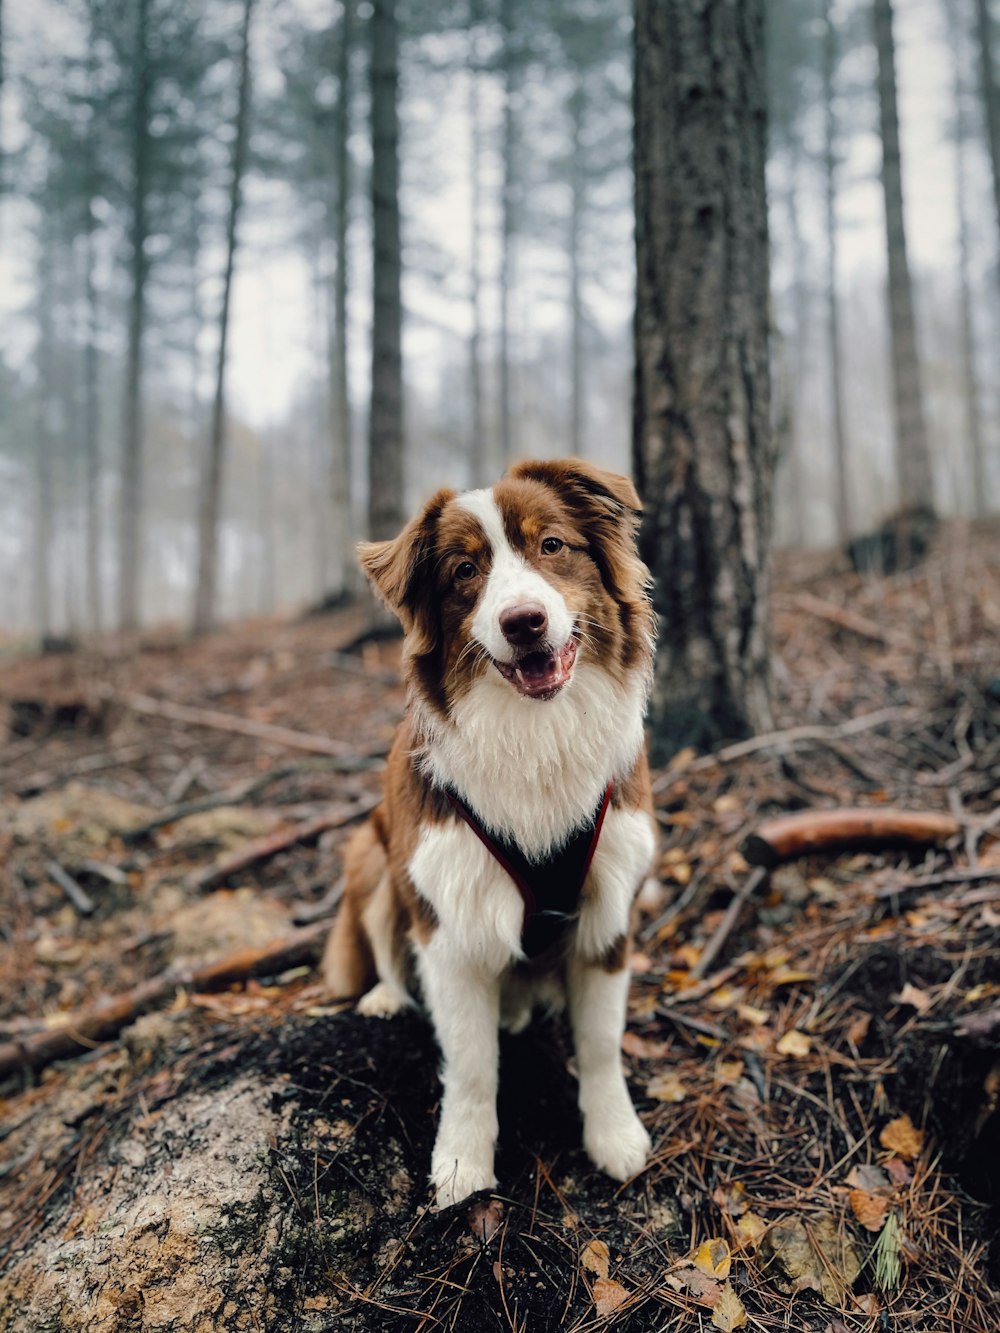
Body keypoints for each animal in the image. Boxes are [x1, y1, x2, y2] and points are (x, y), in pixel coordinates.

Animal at [321, 458, 661, 1210]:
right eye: (465, 571)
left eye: (552, 545)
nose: (524, 622)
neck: (534, 737)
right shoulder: (449, 921)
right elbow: (473, 1066)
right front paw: (461, 1165)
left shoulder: (608, 908)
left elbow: (601, 1042)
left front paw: (614, 1134)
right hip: (372, 857)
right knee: (382, 940)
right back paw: (386, 996)